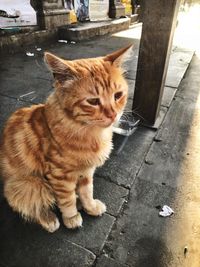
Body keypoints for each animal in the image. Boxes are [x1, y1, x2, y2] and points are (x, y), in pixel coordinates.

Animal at [0, 45, 132, 232]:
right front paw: (71, 217)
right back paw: (49, 219)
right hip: (32, 185)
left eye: (118, 95)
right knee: (33, 206)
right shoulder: (60, 175)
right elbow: (66, 199)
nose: (113, 115)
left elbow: (87, 191)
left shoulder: (87, 171)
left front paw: (90, 206)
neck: (89, 131)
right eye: (93, 101)